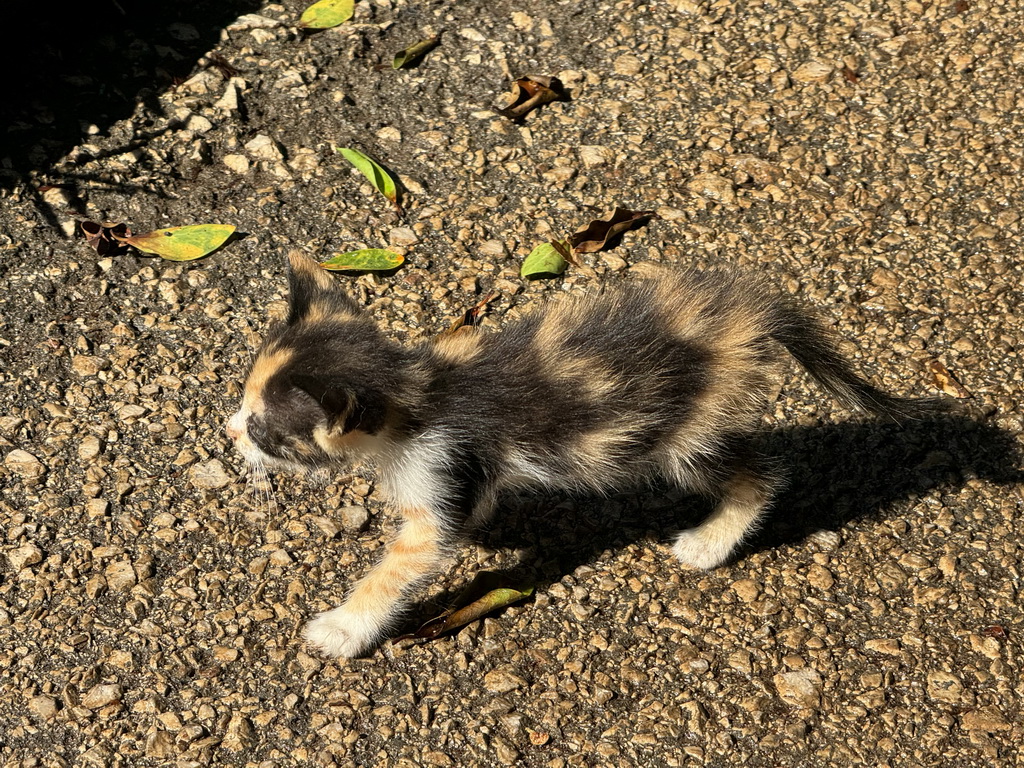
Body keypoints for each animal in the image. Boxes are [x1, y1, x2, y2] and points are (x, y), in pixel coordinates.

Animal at [228, 249, 937, 659]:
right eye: (243, 404)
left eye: (264, 430)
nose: (229, 431)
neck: (416, 392)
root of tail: (747, 318)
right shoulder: (464, 469)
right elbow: (474, 501)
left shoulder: (437, 466)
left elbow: (401, 566)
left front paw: (342, 629)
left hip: (678, 434)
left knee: (759, 475)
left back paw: (710, 544)